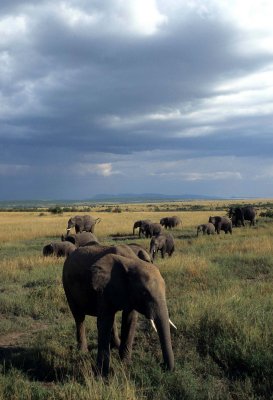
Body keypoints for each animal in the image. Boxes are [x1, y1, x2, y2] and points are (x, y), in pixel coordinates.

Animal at [62, 245, 174, 376]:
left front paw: (125, 364)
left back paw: (116, 345)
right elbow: (104, 322)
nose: (162, 366)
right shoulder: (104, 287)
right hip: (67, 285)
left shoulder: (128, 292)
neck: (131, 261)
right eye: (144, 293)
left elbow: (130, 320)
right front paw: (102, 374)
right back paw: (83, 351)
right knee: (79, 317)